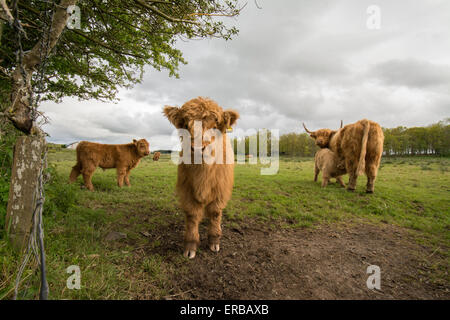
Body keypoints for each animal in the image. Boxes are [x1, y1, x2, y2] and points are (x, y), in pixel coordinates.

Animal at [163, 96, 239, 258]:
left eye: (215, 124)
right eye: (186, 124)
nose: (197, 148)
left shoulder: (220, 190)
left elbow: (215, 213)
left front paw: (214, 241)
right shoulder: (187, 190)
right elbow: (192, 215)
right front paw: (190, 246)